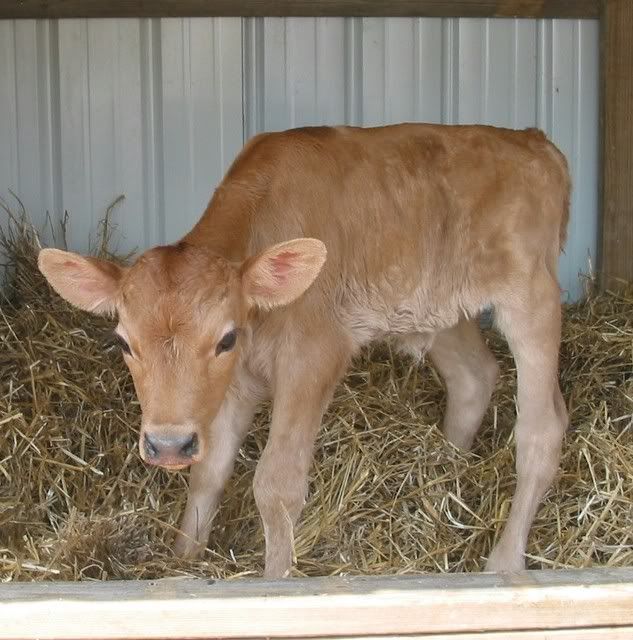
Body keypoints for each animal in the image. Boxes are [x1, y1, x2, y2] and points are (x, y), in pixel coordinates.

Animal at [38, 123, 570, 578]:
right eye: (123, 341)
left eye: (225, 338)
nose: (168, 445)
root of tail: (537, 142)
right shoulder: (235, 382)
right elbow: (209, 472)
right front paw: (183, 559)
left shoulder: (312, 354)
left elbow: (277, 484)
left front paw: (277, 580)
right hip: (440, 308)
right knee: (473, 378)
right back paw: (443, 472)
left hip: (532, 294)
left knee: (542, 429)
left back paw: (504, 561)